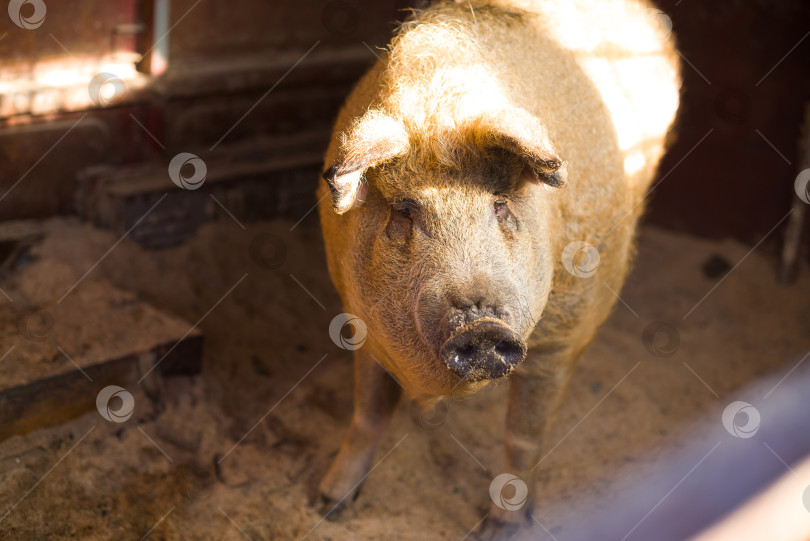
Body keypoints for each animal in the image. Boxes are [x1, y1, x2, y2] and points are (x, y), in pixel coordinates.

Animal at [314, 0, 676, 532]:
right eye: (404, 212)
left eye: (500, 205)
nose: (479, 325)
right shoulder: (359, 318)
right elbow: (368, 412)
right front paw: (325, 505)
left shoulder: (561, 338)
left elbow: (523, 434)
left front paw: (502, 529)